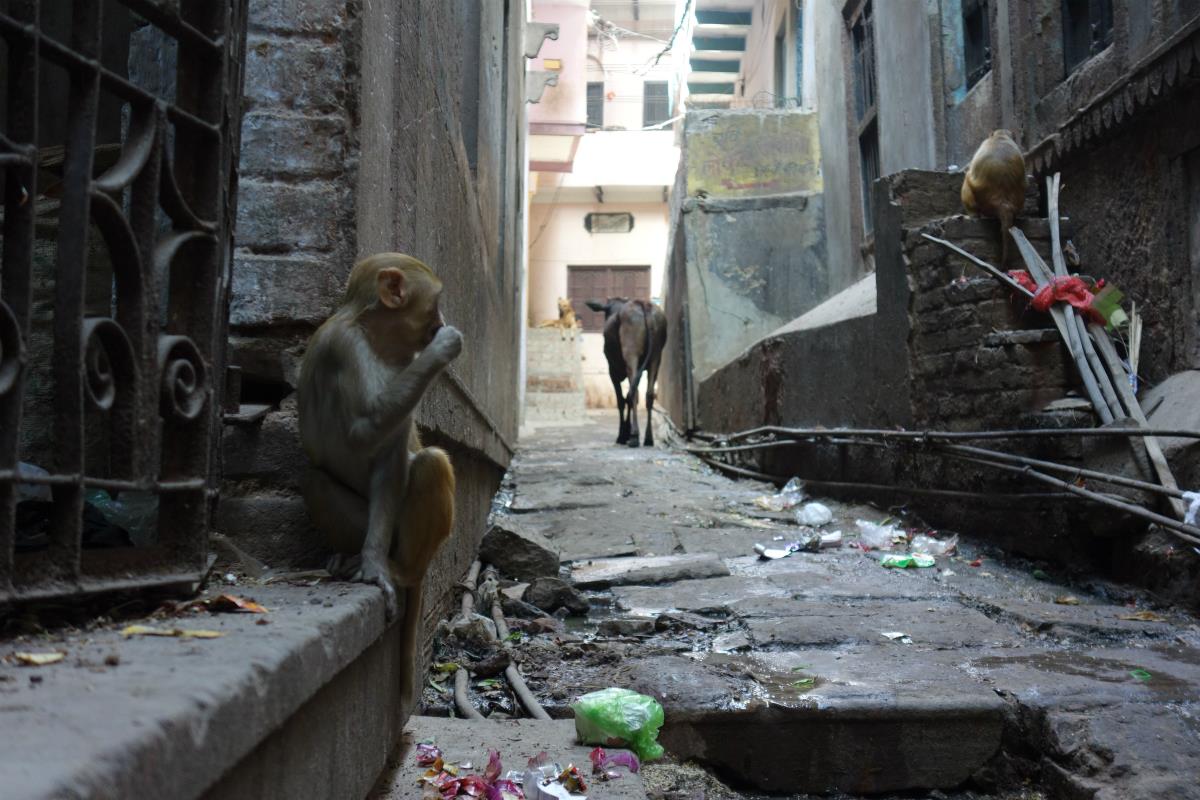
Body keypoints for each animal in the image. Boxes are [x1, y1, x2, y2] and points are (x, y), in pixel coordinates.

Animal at [297, 252, 462, 709]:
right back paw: (356, 558)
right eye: (435, 302)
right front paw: (443, 348)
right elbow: (364, 431)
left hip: (400, 536)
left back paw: (399, 569)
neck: (372, 335)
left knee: (429, 463)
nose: (443, 321)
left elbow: (388, 454)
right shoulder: (346, 347)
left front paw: (374, 565)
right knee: (315, 478)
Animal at [584, 298, 667, 447]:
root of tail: (644, 304)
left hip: (631, 354)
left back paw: (634, 435)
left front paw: (622, 435)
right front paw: (625, 432)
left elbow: (621, 401)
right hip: (656, 358)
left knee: (633, 393)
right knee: (648, 394)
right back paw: (648, 438)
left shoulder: (612, 371)